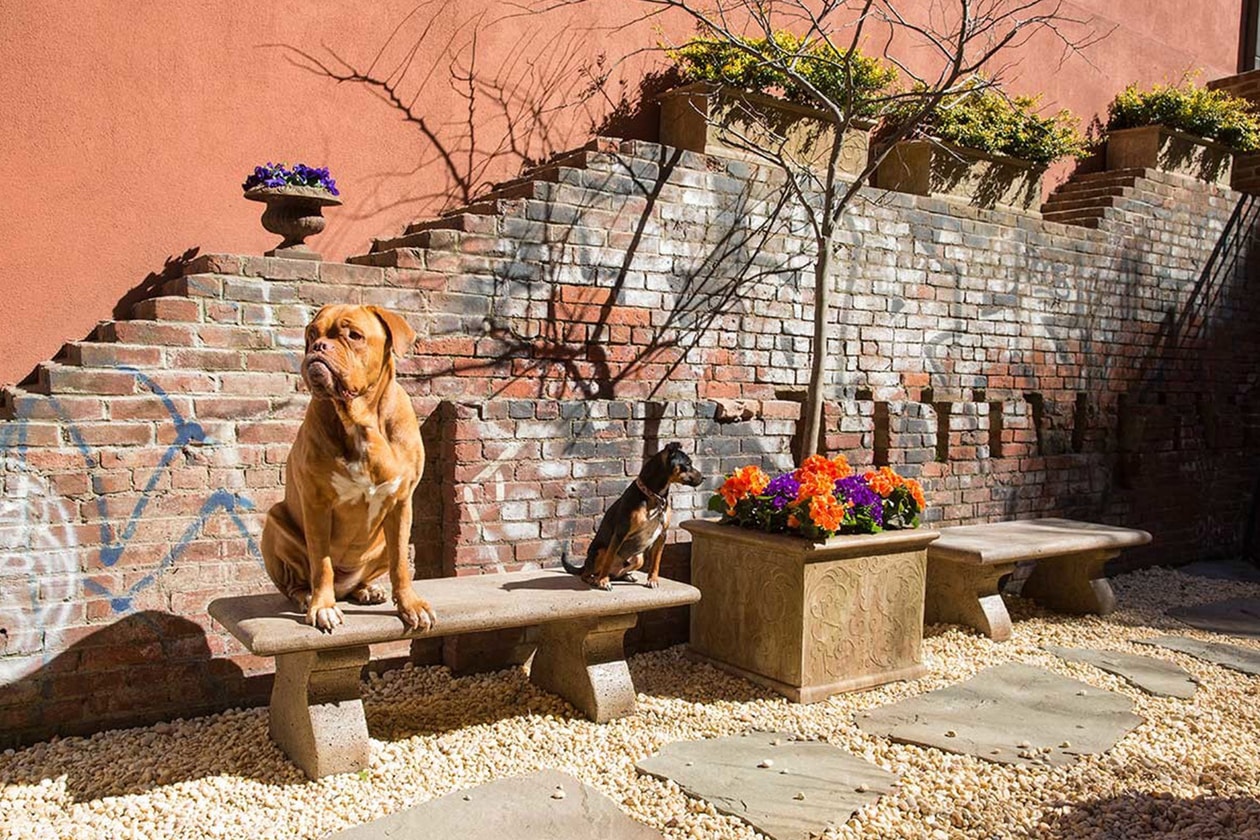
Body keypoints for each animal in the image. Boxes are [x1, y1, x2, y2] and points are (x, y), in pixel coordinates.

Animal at [259, 306, 433, 634]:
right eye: (311, 334)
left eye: (354, 335)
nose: (318, 347)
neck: (361, 420)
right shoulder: (317, 504)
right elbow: (321, 563)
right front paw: (322, 607)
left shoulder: (402, 503)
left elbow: (401, 565)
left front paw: (410, 606)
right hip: (274, 524)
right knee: (294, 582)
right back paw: (306, 596)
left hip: (382, 543)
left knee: (369, 574)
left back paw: (367, 589)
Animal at [564, 440, 705, 591]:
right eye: (688, 463)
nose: (704, 477)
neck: (654, 496)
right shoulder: (620, 532)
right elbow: (609, 559)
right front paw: (603, 582)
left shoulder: (662, 534)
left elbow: (656, 561)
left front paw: (653, 580)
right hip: (600, 551)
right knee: (588, 573)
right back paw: (595, 579)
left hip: (639, 558)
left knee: (616, 574)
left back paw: (626, 576)